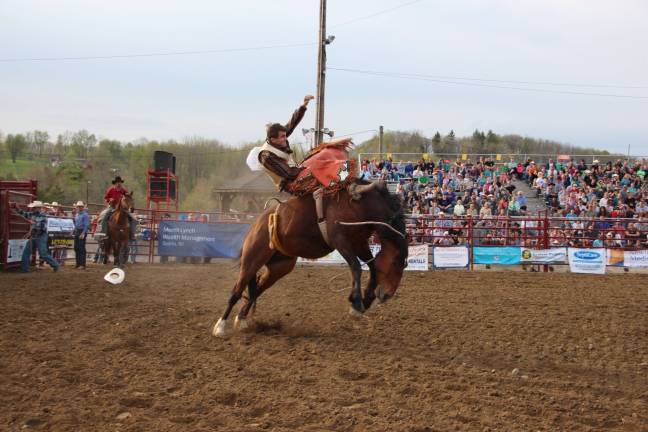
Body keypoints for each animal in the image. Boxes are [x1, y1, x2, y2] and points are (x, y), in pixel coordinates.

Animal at [213, 179, 404, 338]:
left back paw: (242, 320)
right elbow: (356, 267)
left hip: (279, 267)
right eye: (396, 262)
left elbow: (372, 267)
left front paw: (366, 299)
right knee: (236, 291)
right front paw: (356, 303)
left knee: (257, 288)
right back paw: (220, 327)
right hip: (251, 259)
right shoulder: (340, 240)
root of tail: (257, 223)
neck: (360, 205)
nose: (388, 295)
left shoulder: (359, 243)